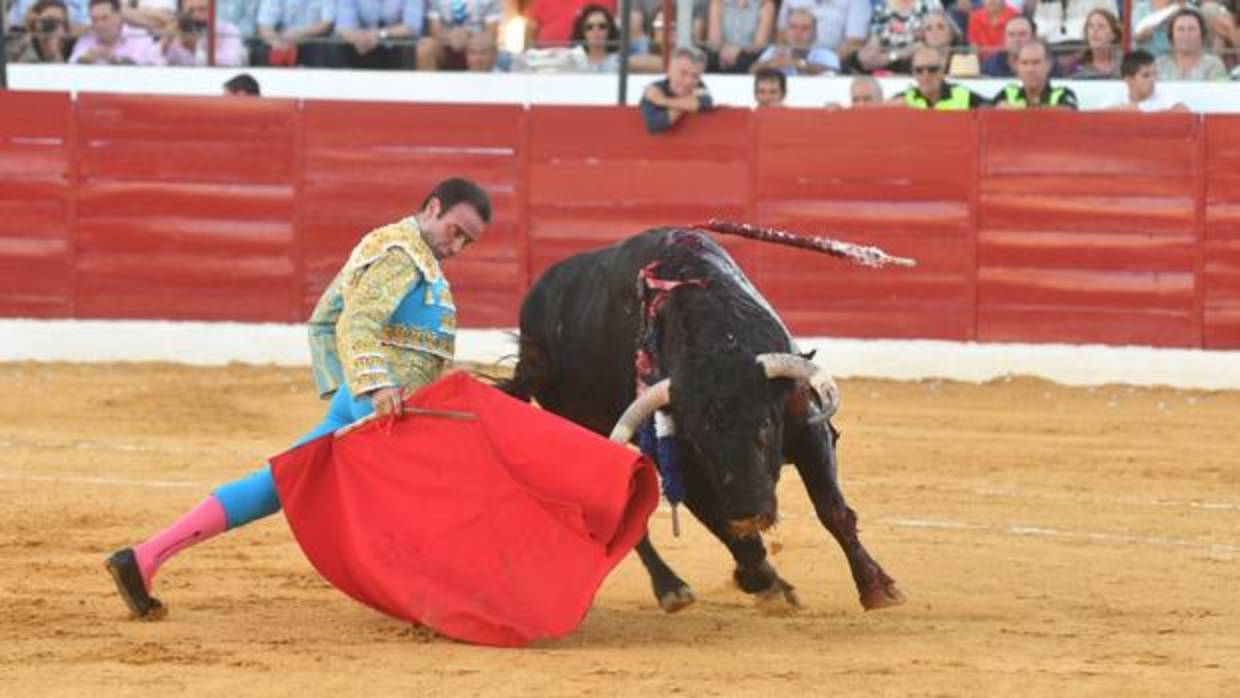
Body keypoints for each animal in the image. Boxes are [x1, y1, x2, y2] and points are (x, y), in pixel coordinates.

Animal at [500, 229, 902, 612]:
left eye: (765, 424)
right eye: (698, 442)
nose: (749, 512)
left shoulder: (808, 428)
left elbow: (832, 510)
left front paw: (876, 588)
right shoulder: (683, 463)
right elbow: (724, 524)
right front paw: (764, 582)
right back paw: (672, 589)